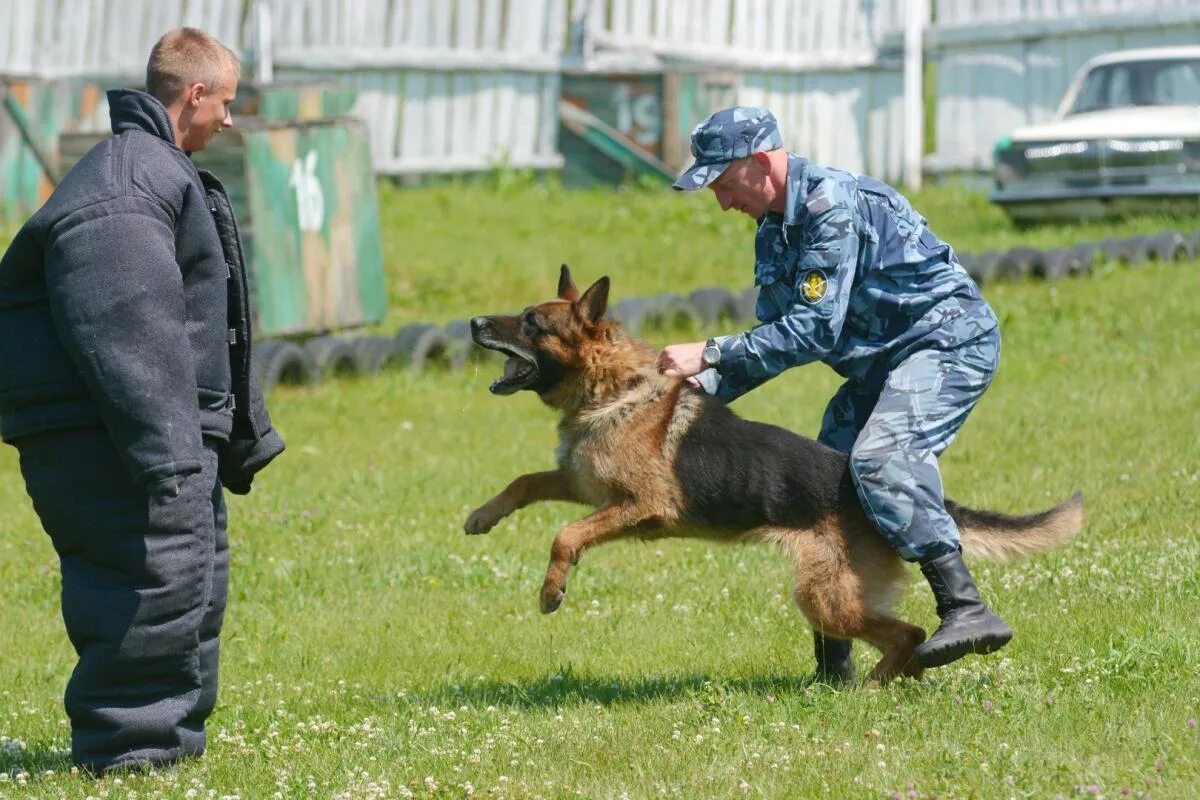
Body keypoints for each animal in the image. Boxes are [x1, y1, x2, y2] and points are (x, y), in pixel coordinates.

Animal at [463, 267, 1084, 681]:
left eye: (531, 322)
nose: (472, 322)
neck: (612, 389)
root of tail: (874, 492)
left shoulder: (640, 507)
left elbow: (565, 534)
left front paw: (552, 591)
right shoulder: (583, 486)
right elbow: (524, 482)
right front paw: (481, 517)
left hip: (822, 594)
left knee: (908, 632)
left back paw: (878, 684)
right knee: (896, 636)